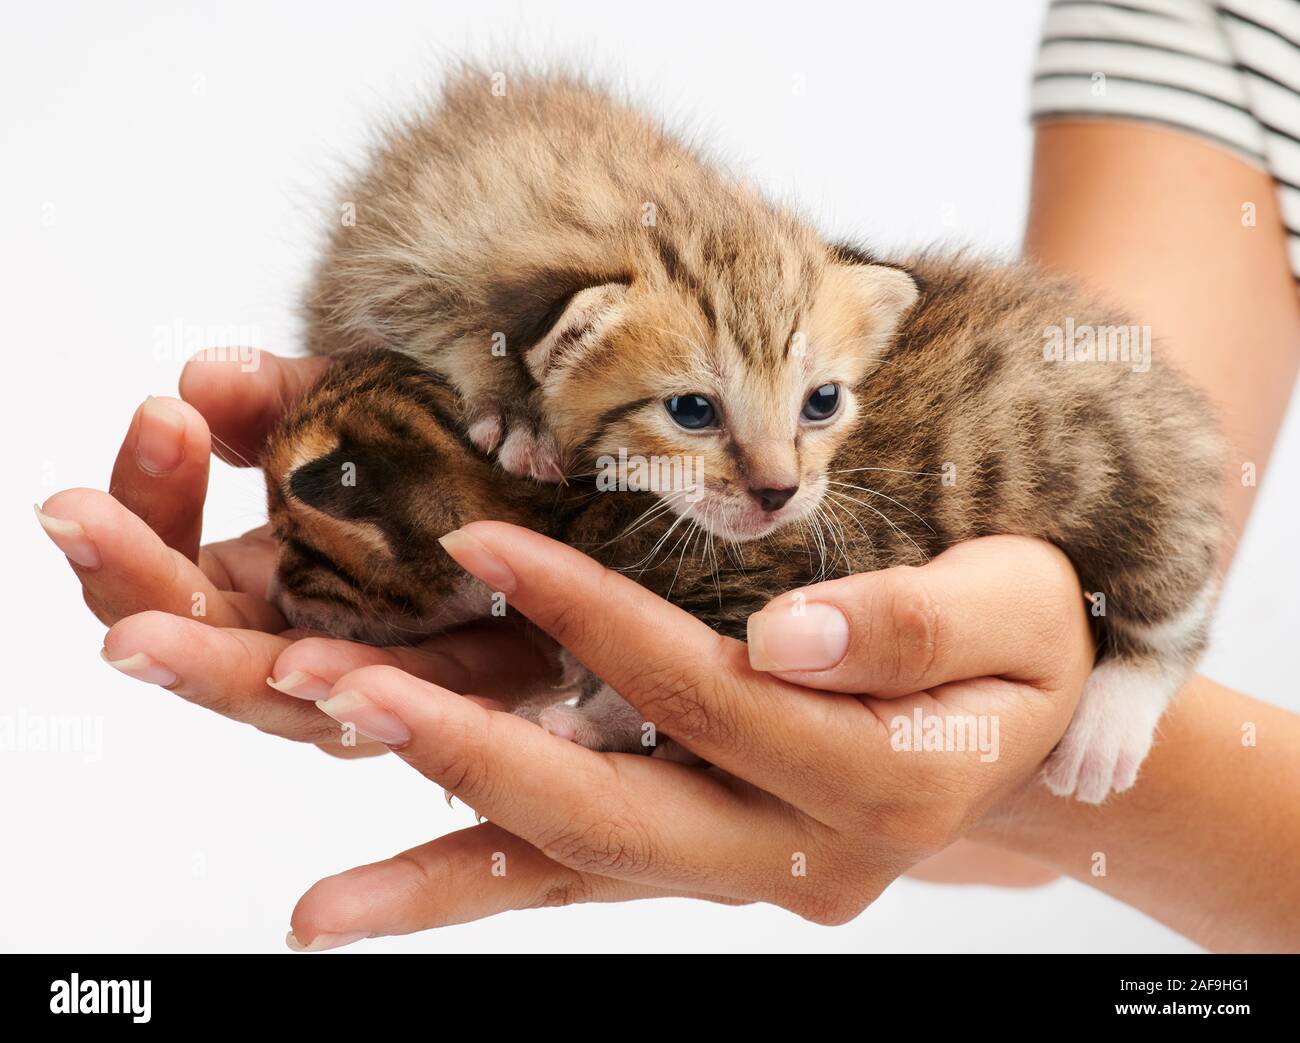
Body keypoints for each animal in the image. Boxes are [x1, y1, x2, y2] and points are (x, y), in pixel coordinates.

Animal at [263, 245, 1216, 806]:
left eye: (299, 546)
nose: (278, 598)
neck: (564, 498)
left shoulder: (774, 583)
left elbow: (649, 687)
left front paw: (585, 721)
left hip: (1121, 477)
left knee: (1172, 598)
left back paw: (1107, 726)